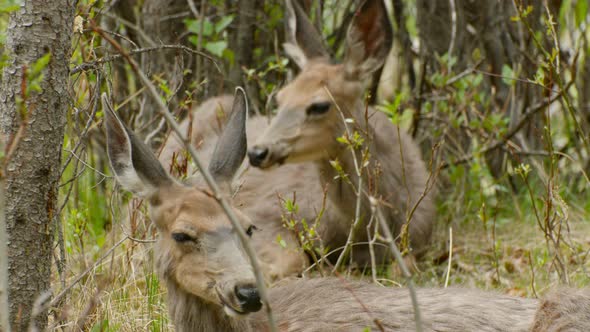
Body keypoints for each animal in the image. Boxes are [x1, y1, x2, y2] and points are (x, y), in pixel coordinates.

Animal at [247, 0, 438, 268]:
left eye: (319, 105)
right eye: (280, 98)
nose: (256, 152)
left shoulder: (418, 243)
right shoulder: (264, 209)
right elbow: (293, 259)